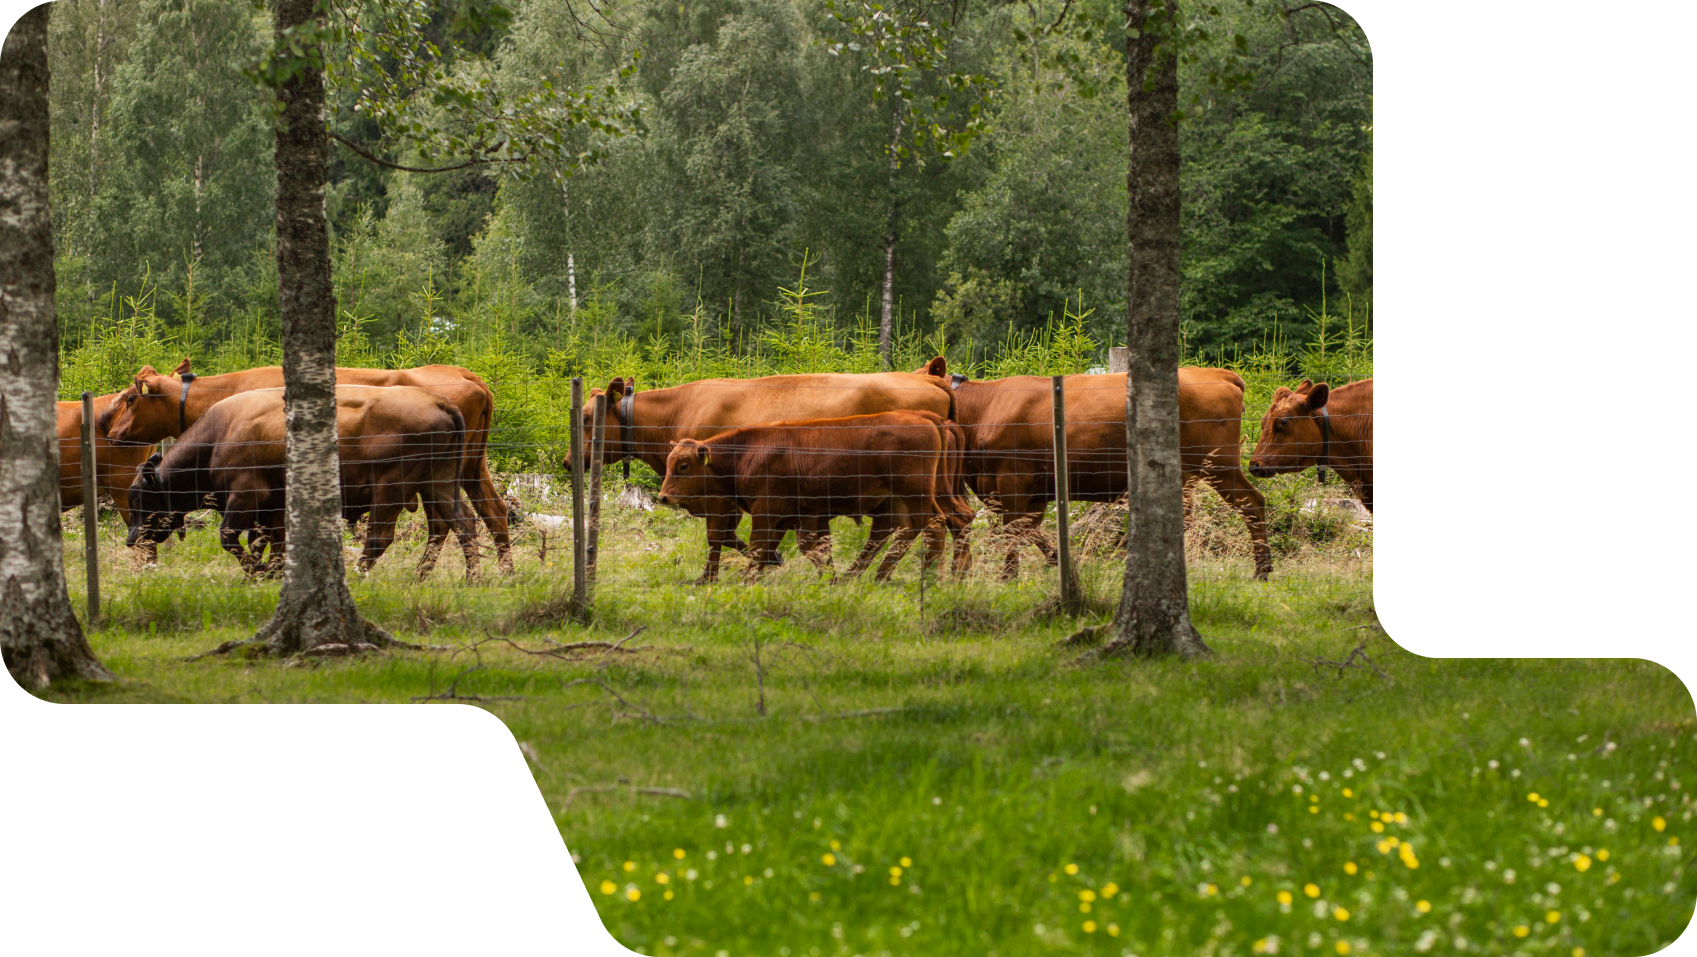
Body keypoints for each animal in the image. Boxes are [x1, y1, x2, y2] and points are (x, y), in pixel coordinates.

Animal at [97, 359, 512, 572]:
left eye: (131, 398)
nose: (107, 427)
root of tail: (467, 378)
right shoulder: (273, 508)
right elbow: (269, 543)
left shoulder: (247, 496)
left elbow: (238, 539)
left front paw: (260, 573)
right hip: (458, 475)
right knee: (480, 518)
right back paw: (484, 577)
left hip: (397, 488)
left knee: (395, 534)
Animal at [656, 411, 953, 583]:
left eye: (683, 465)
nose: (663, 497)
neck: (747, 452)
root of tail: (927, 420)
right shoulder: (796, 517)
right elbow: (799, 549)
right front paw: (828, 578)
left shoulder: (766, 514)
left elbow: (760, 548)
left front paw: (745, 580)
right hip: (898, 503)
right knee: (902, 533)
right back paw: (872, 577)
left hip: (915, 496)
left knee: (933, 528)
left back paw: (929, 578)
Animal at [919, 359, 1273, 580]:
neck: (983, 408)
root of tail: (1220, 374)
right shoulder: (1031, 490)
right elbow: (1028, 531)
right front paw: (1057, 560)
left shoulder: (1012, 480)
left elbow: (1012, 532)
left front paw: (1008, 577)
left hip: (1218, 464)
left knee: (1251, 503)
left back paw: (1262, 570)